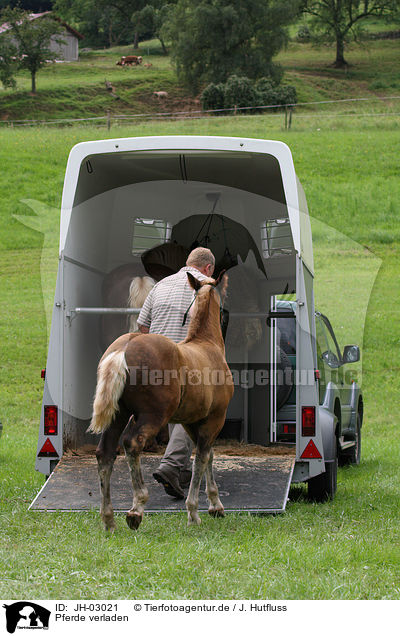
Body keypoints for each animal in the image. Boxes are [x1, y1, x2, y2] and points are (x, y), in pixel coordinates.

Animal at [87, 272, 231, 532]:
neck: (207, 344)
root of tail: (124, 347)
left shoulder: (193, 423)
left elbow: (208, 456)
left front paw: (215, 505)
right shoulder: (215, 418)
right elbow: (202, 459)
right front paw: (194, 512)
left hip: (118, 416)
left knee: (105, 453)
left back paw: (109, 519)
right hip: (152, 416)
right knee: (132, 443)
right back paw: (136, 508)